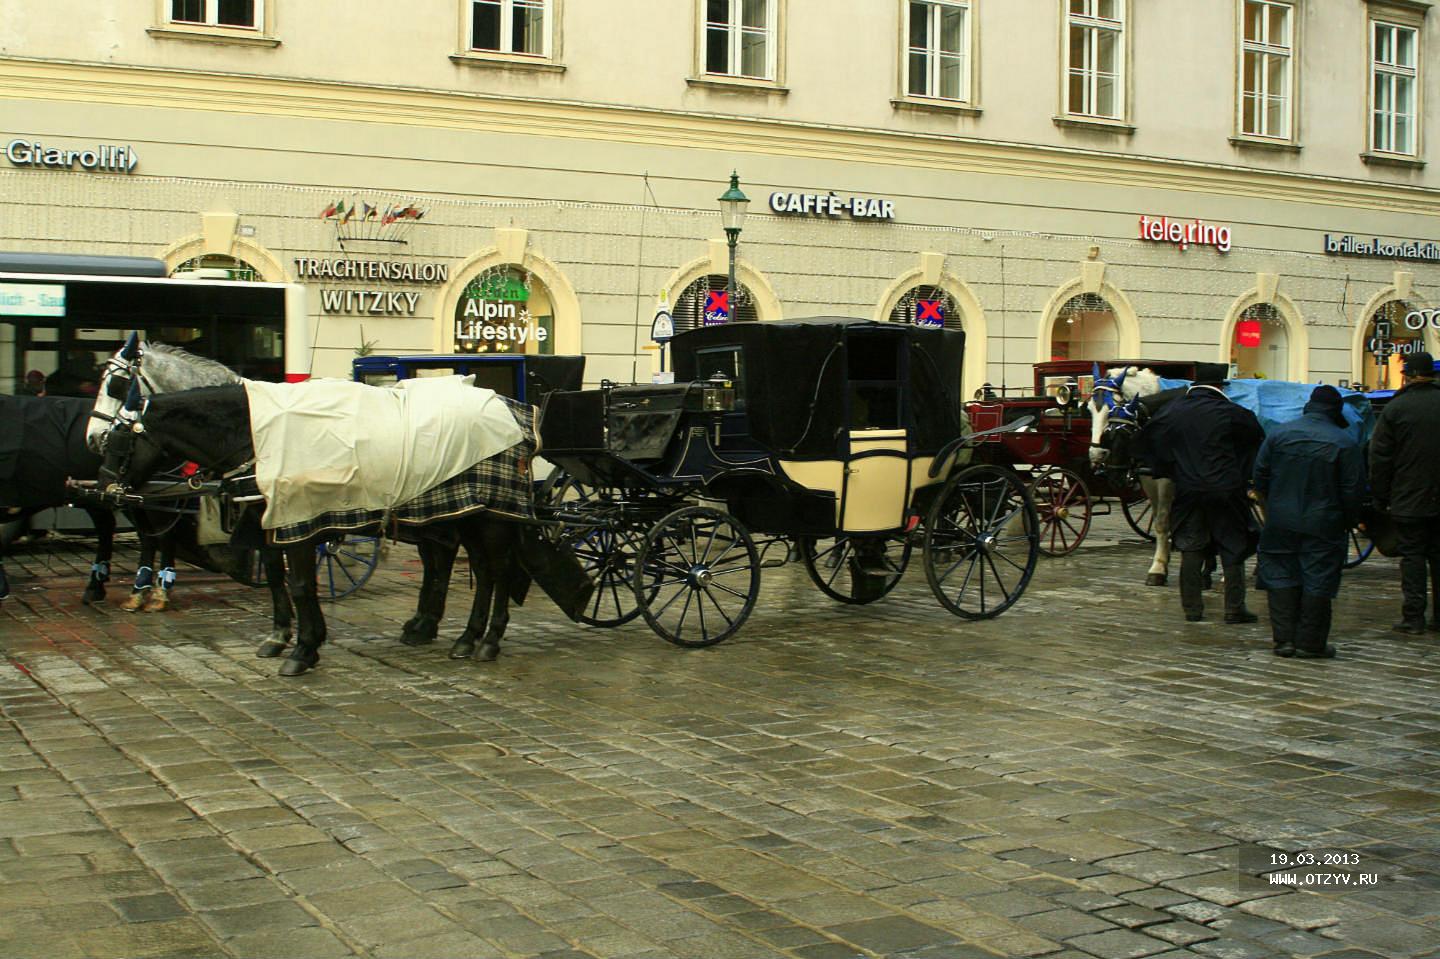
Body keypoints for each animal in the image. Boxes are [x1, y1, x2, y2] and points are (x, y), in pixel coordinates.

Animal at [102, 385, 578, 676]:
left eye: (118, 442)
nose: (106, 491)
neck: (263, 437)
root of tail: (518, 414)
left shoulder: (300, 524)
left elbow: (300, 585)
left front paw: (303, 649)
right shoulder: (270, 524)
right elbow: (276, 582)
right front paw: (281, 638)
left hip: (491, 518)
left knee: (497, 573)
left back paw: (487, 640)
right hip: (468, 516)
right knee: (479, 571)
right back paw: (464, 636)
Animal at [1082, 362, 1175, 581]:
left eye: (1110, 409)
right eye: (1088, 410)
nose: (1096, 453)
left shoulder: (1168, 480)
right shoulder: (1149, 480)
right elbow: (1160, 522)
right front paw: (1160, 564)